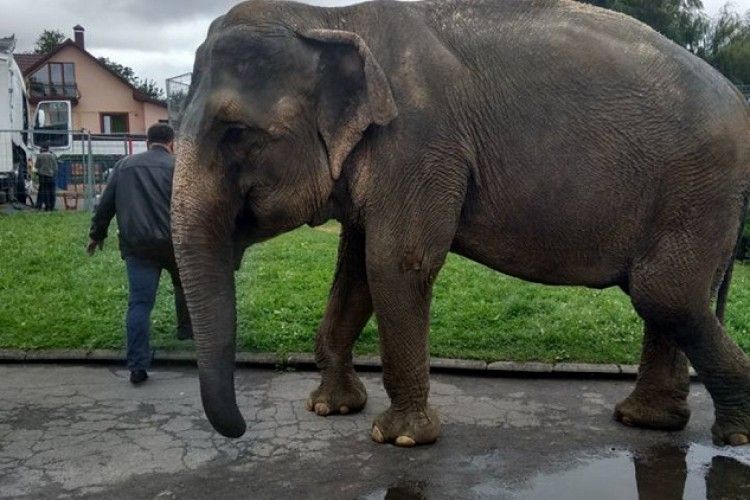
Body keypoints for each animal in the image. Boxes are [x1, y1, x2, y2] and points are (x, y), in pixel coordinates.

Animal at [172, 0, 750, 447]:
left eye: (236, 133)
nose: (241, 430)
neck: (331, 19)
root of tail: (737, 98)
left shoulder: (419, 142)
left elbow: (395, 264)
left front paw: (400, 438)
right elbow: (356, 272)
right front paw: (331, 409)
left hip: (699, 188)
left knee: (664, 292)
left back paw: (731, 434)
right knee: (668, 297)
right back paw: (646, 421)